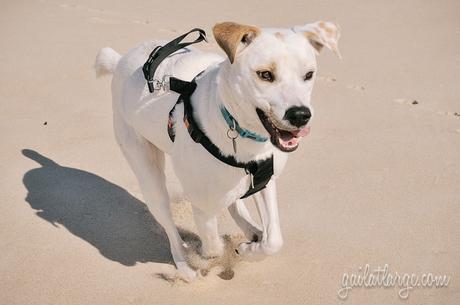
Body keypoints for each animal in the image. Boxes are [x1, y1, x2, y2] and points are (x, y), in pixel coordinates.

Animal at [95, 20, 342, 278]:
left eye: (308, 75)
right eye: (265, 74)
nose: (301, 115)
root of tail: (120, 61)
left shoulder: (266, 179)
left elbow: (274, 240)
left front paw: (250, 249)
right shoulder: (201, 203)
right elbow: (213, 245)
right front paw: (208, 255)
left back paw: (252, 231)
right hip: (147, 172)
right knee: (170, 226)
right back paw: (185, 267)